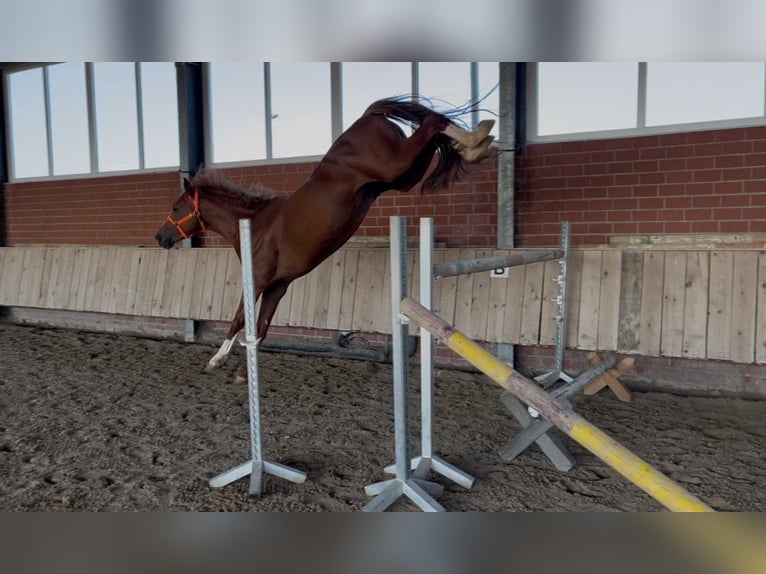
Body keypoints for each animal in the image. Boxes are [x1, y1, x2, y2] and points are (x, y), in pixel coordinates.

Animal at [155, 96, 495, 381]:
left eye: (175, 207)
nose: (160, 237)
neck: (255, 224)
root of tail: (368, 115)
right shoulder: (277, 287)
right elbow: (261, 328)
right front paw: (242, 372)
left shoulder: (258, 280)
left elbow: (240, 320)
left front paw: (216, 361)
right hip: (403, 176)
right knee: (434, 135)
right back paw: (476, 144)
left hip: (396, 166)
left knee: (433, 124)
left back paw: (478, 138)